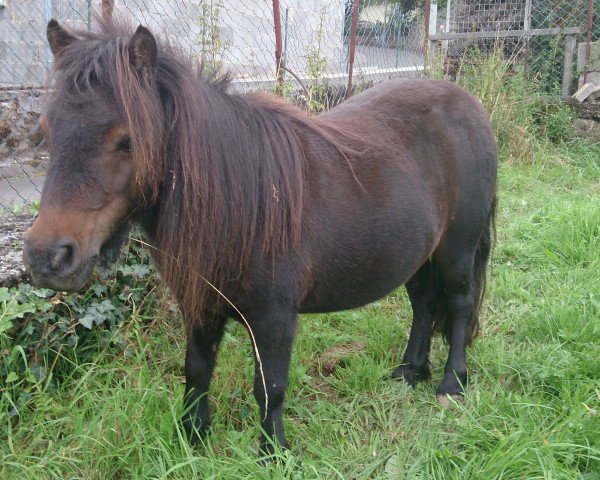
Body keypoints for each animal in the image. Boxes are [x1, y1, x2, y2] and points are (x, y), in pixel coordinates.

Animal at [22, 17, 496, 454]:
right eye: (46, 130)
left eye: (126, 140)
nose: (47, 256)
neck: (241, 198)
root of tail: (469, 105)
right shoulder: (200, 305)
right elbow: (197, 371)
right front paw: (192, 437)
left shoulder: (273, 318)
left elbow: (270, 388)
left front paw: (273, 451)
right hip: (418, 255)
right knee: (424, 304)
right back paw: (410, 372)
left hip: (456, 251)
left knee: (458, 305)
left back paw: (452, 384)